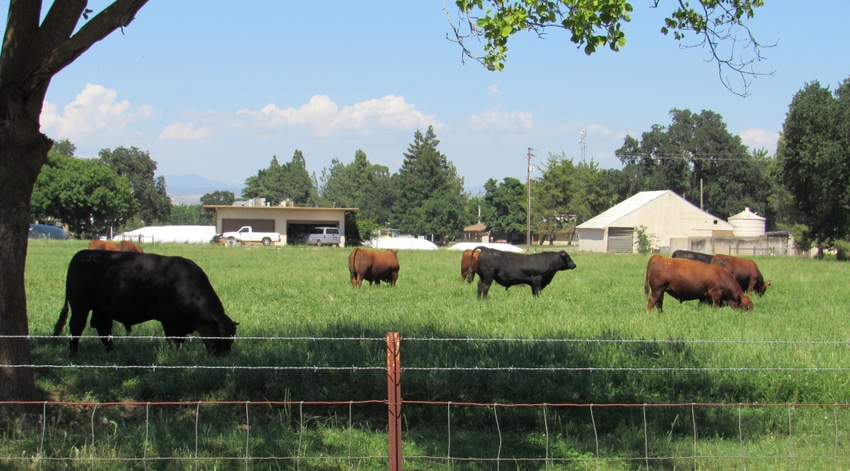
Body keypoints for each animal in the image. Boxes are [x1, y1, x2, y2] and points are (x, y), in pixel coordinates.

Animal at [52, 253, 238, 356]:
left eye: (231, 341)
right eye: (220, 337)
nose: (223, 357)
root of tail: (82, 254)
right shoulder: (170, 320)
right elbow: (173, 340)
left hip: (102, 310)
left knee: (103, 328)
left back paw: (112, 352)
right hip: (80, 306)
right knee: (76, 328)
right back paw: (73, 354)